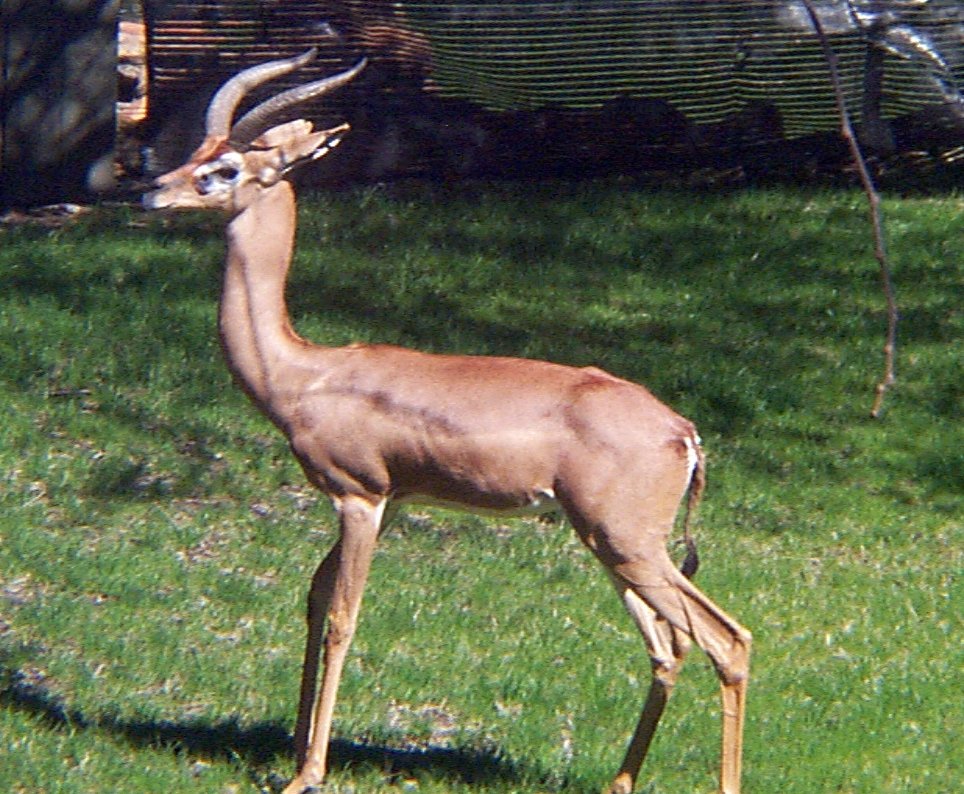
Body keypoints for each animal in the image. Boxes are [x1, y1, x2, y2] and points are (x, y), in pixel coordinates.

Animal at [143, 51, 748, 792]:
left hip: (628, 545)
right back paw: (618, 782)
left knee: (726, 640)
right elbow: (313, 599)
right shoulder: (392, 500)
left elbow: (342, 616)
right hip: (613, 547)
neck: (306, 373)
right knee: (669, 646)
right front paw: (294, 748)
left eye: (225, 168)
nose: (152, 190)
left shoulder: (360, 497)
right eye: (198, 152)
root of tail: (683, 431)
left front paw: (307, 772)